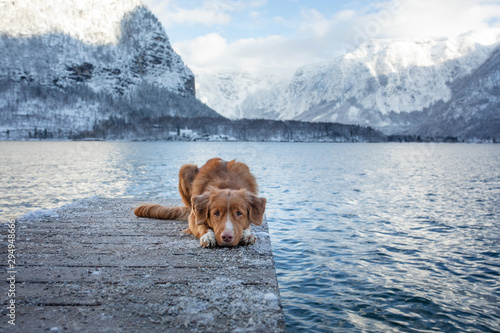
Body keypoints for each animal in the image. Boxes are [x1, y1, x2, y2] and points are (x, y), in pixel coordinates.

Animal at [133, 158, 266, 246]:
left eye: (239, 213)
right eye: (216, 213)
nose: (227, 237)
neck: (227, 184)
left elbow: (248, 225)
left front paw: (247, 235)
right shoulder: (194, 217)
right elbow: (201, 225)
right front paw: (208, 236)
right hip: (186, 168)